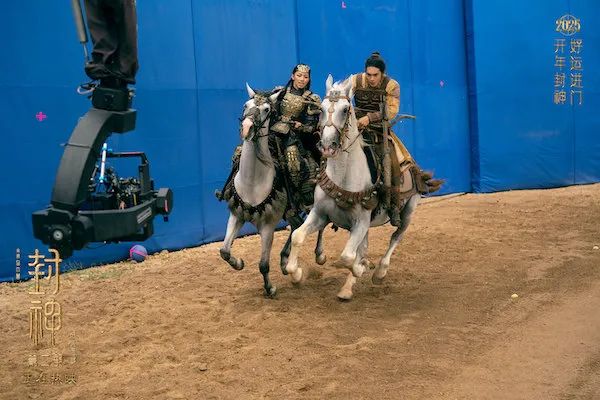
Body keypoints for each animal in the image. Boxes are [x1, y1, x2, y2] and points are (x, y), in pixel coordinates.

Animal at [219, 84, 326, 297]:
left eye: (267, 109)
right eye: (246, 105)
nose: (247, 128)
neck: (253, 181)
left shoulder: (268, 225)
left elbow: (263, 264)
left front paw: (270, 288)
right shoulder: (237, 214)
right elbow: (224, 251)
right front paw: (239, 262)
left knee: (318, 226)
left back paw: (319, 255)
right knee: (296, 226)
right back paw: (285, 260)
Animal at [283, 75, 421, 300]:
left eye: (346, 109)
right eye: (321, 109)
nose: (328, 145)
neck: (343, 177)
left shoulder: (361, 222)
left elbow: (347, 257)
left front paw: (360, 268)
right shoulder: (320, 214)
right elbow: (297, 236)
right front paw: (296, 274)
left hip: (408, 210)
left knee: (396, 236)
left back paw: (379, 272)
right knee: (364, 247)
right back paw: (347, 288)